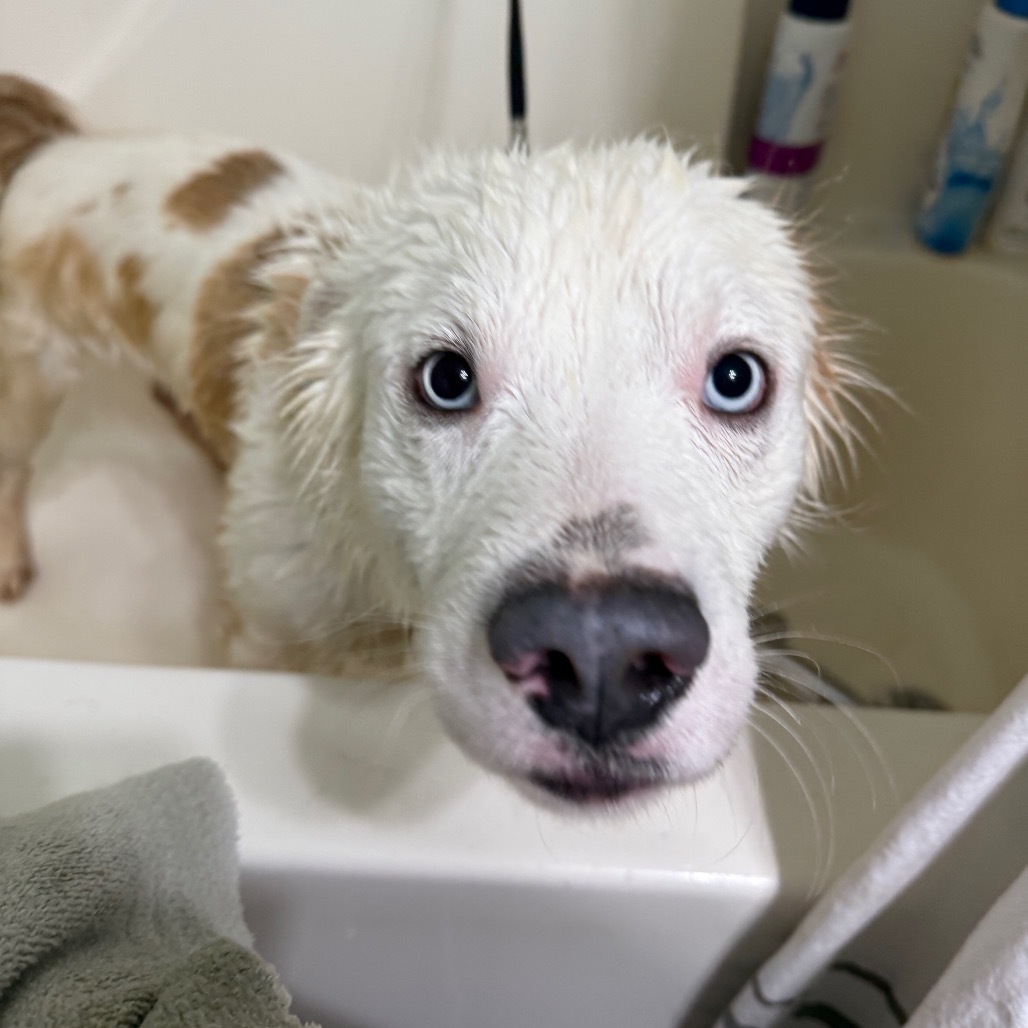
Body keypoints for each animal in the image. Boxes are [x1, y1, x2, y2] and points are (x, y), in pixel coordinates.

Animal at [0, 76, 859, 805]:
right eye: (446, 378)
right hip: (28, 378)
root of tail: (55, 145)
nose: (602, 653)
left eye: (736, 379)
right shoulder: (265, 634)